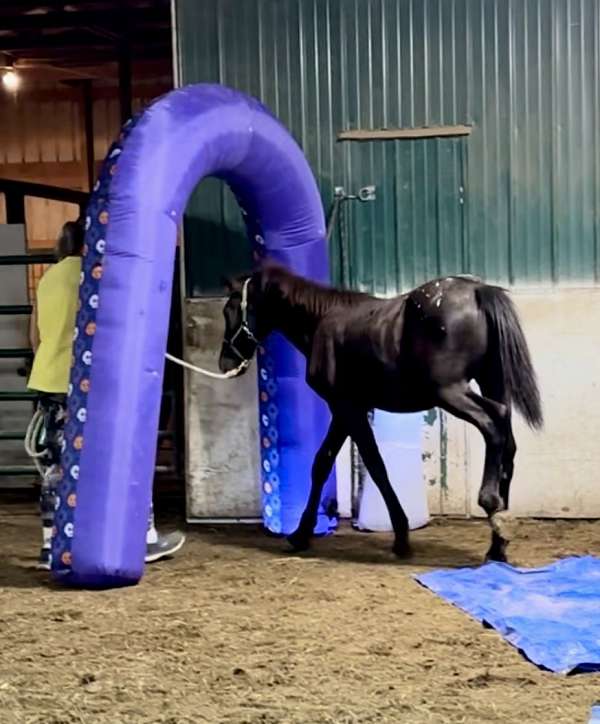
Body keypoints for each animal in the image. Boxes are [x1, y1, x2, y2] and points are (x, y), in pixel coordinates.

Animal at [220, 264, 544, 564]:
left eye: (230, 309)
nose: (225, 363)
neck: (322, 321)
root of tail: (477, 291)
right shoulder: (347, 411)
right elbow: (322, 463)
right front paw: (300, 535)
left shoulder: (346, 408)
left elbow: (375, 466)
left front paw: (401, 538)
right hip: (492, 383)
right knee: (507, 442)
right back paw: (498, 542)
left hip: (451, 392)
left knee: (493, 423)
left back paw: (490, 505)